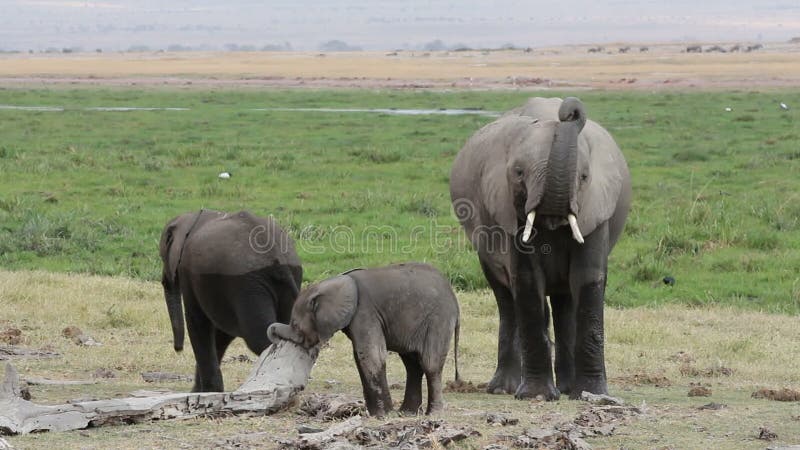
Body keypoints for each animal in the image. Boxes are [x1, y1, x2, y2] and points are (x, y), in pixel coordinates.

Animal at [159, 209, 304, 392]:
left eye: (162, 256)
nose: (178, 349)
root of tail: (276, 255)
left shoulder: (188, 273)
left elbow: (197, 321)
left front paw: (207, 392)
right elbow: (222, 335)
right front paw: (202, 391)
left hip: (247, 283)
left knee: (259, 336)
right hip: (287, 278)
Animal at [268, 264, 460, 414]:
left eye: (295, 325)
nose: (275, 343)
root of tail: (454, 299)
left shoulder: (365, 311)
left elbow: (371, 355)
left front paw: (383, 415)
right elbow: (360, 357)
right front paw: (377, 414)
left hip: (438, 320)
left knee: (430, 364)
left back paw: (433, 414)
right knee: (412, 365)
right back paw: (407, 413)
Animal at [450, 96, 632, 400]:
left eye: (584, 177)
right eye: (519, 173)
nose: (569, 111)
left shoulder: (597, 208)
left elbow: (588, 279)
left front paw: (591, 394)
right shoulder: (509, 210)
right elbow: (527, 281)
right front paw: (536, 396)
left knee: (564, 301)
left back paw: (568, 388)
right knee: (506, 298)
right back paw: (504, 389)